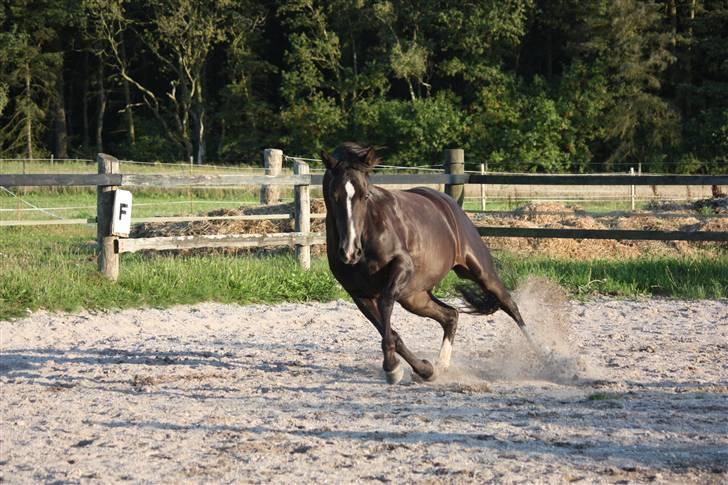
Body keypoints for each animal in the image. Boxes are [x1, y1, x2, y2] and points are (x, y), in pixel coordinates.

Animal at [322, 142, 532, 384]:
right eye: (334, 195)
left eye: (365, 195)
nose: (350, 252)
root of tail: (448, 204)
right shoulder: (359, 294)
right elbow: (391, 331)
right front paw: (421, 369)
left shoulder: (402, 266)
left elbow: (385, 303)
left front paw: (392, 367)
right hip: (415, 298)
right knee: (451, 315)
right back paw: (440, 366)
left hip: (479, 271)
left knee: (510, 305)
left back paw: (544, 356)